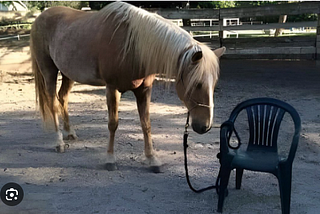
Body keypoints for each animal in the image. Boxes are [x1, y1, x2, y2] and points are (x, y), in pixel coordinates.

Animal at [30, 1, 225, 172]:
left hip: (68, 74)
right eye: (197, 84)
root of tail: (40, 17)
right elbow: (113, 124)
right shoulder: (112, 89)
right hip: (49, 71)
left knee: (62, 97)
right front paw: (110, 159)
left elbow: (146, 124)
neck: (133, 48)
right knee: (53, 103)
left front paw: (152, 159)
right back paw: (59, 142)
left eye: (214, 84)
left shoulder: (144, 90)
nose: (205, 126)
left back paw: (70, 132)